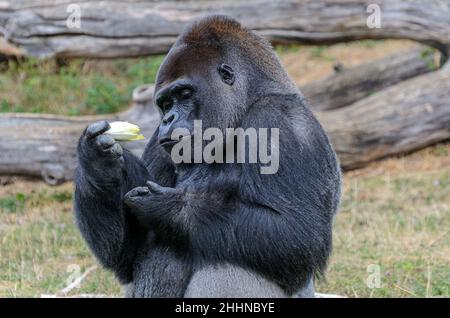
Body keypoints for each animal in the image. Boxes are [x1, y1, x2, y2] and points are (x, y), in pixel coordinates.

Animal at [74, 14, 342, 298]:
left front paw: (171, 208)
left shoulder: (282, 120)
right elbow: (125, 256)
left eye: (184, 94)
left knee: (229, 263)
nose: (168, 119)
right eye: (165, 104)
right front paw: (97, 164)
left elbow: (296, 236)